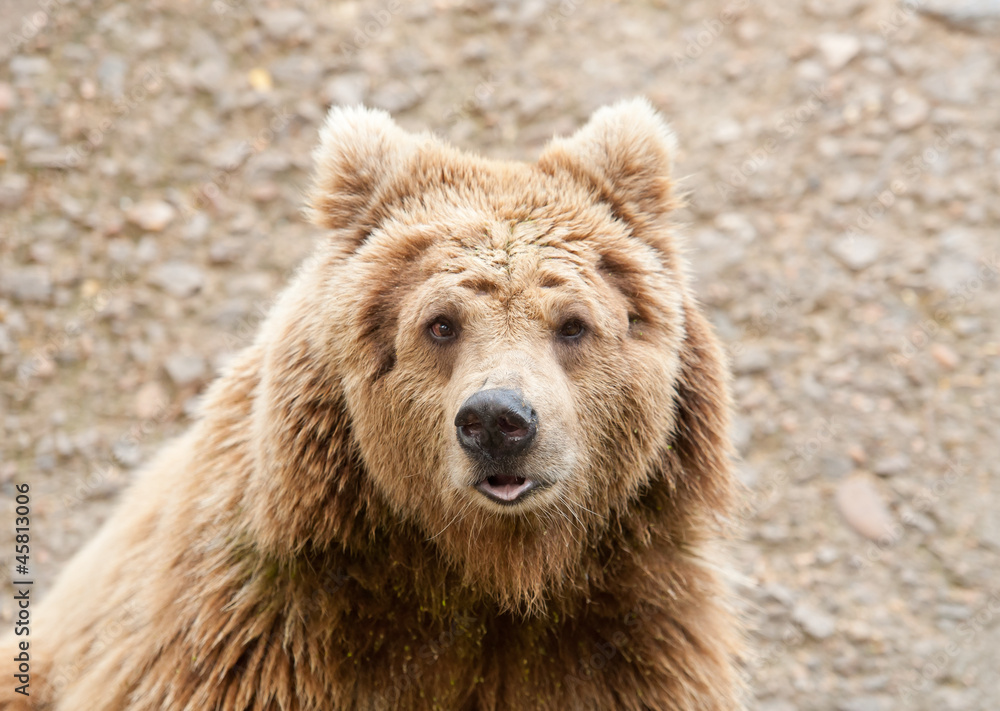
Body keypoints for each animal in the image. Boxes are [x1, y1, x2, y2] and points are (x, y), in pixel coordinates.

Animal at [0, 98, 744, 710]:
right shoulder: (260, 633)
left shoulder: (626, 641)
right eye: (440, 323)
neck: (490, 571)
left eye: (572, 324)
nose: (498, 421)